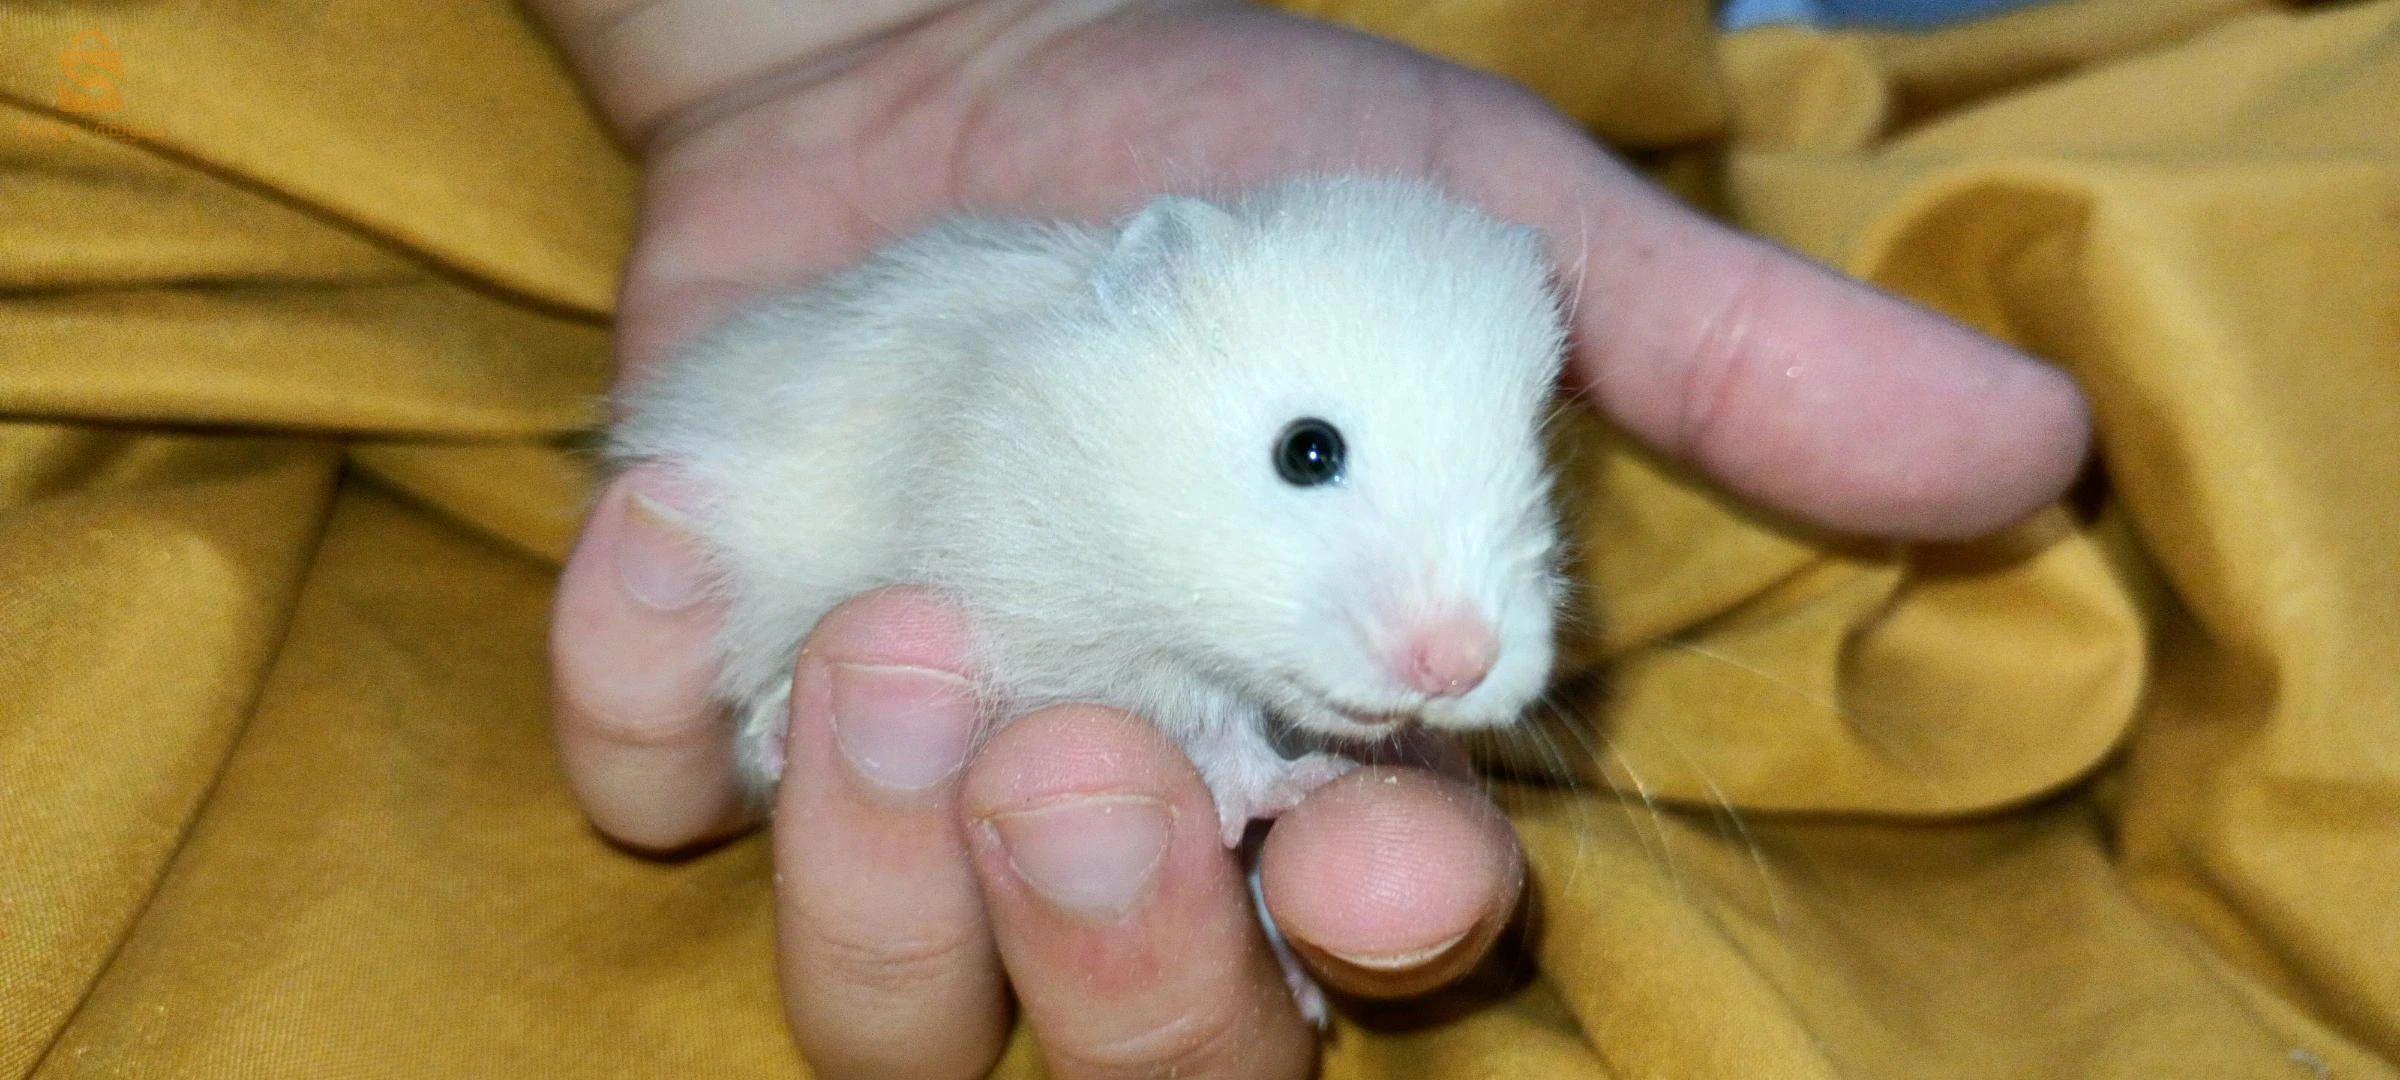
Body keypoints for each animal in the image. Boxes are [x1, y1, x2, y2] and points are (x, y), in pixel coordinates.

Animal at [608, 174, 1570, 849]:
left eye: (1532, 471)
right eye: (1307, 451)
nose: (1460, 666)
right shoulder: (1071, 620)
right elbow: (1210, 720)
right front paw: (1301, 787)